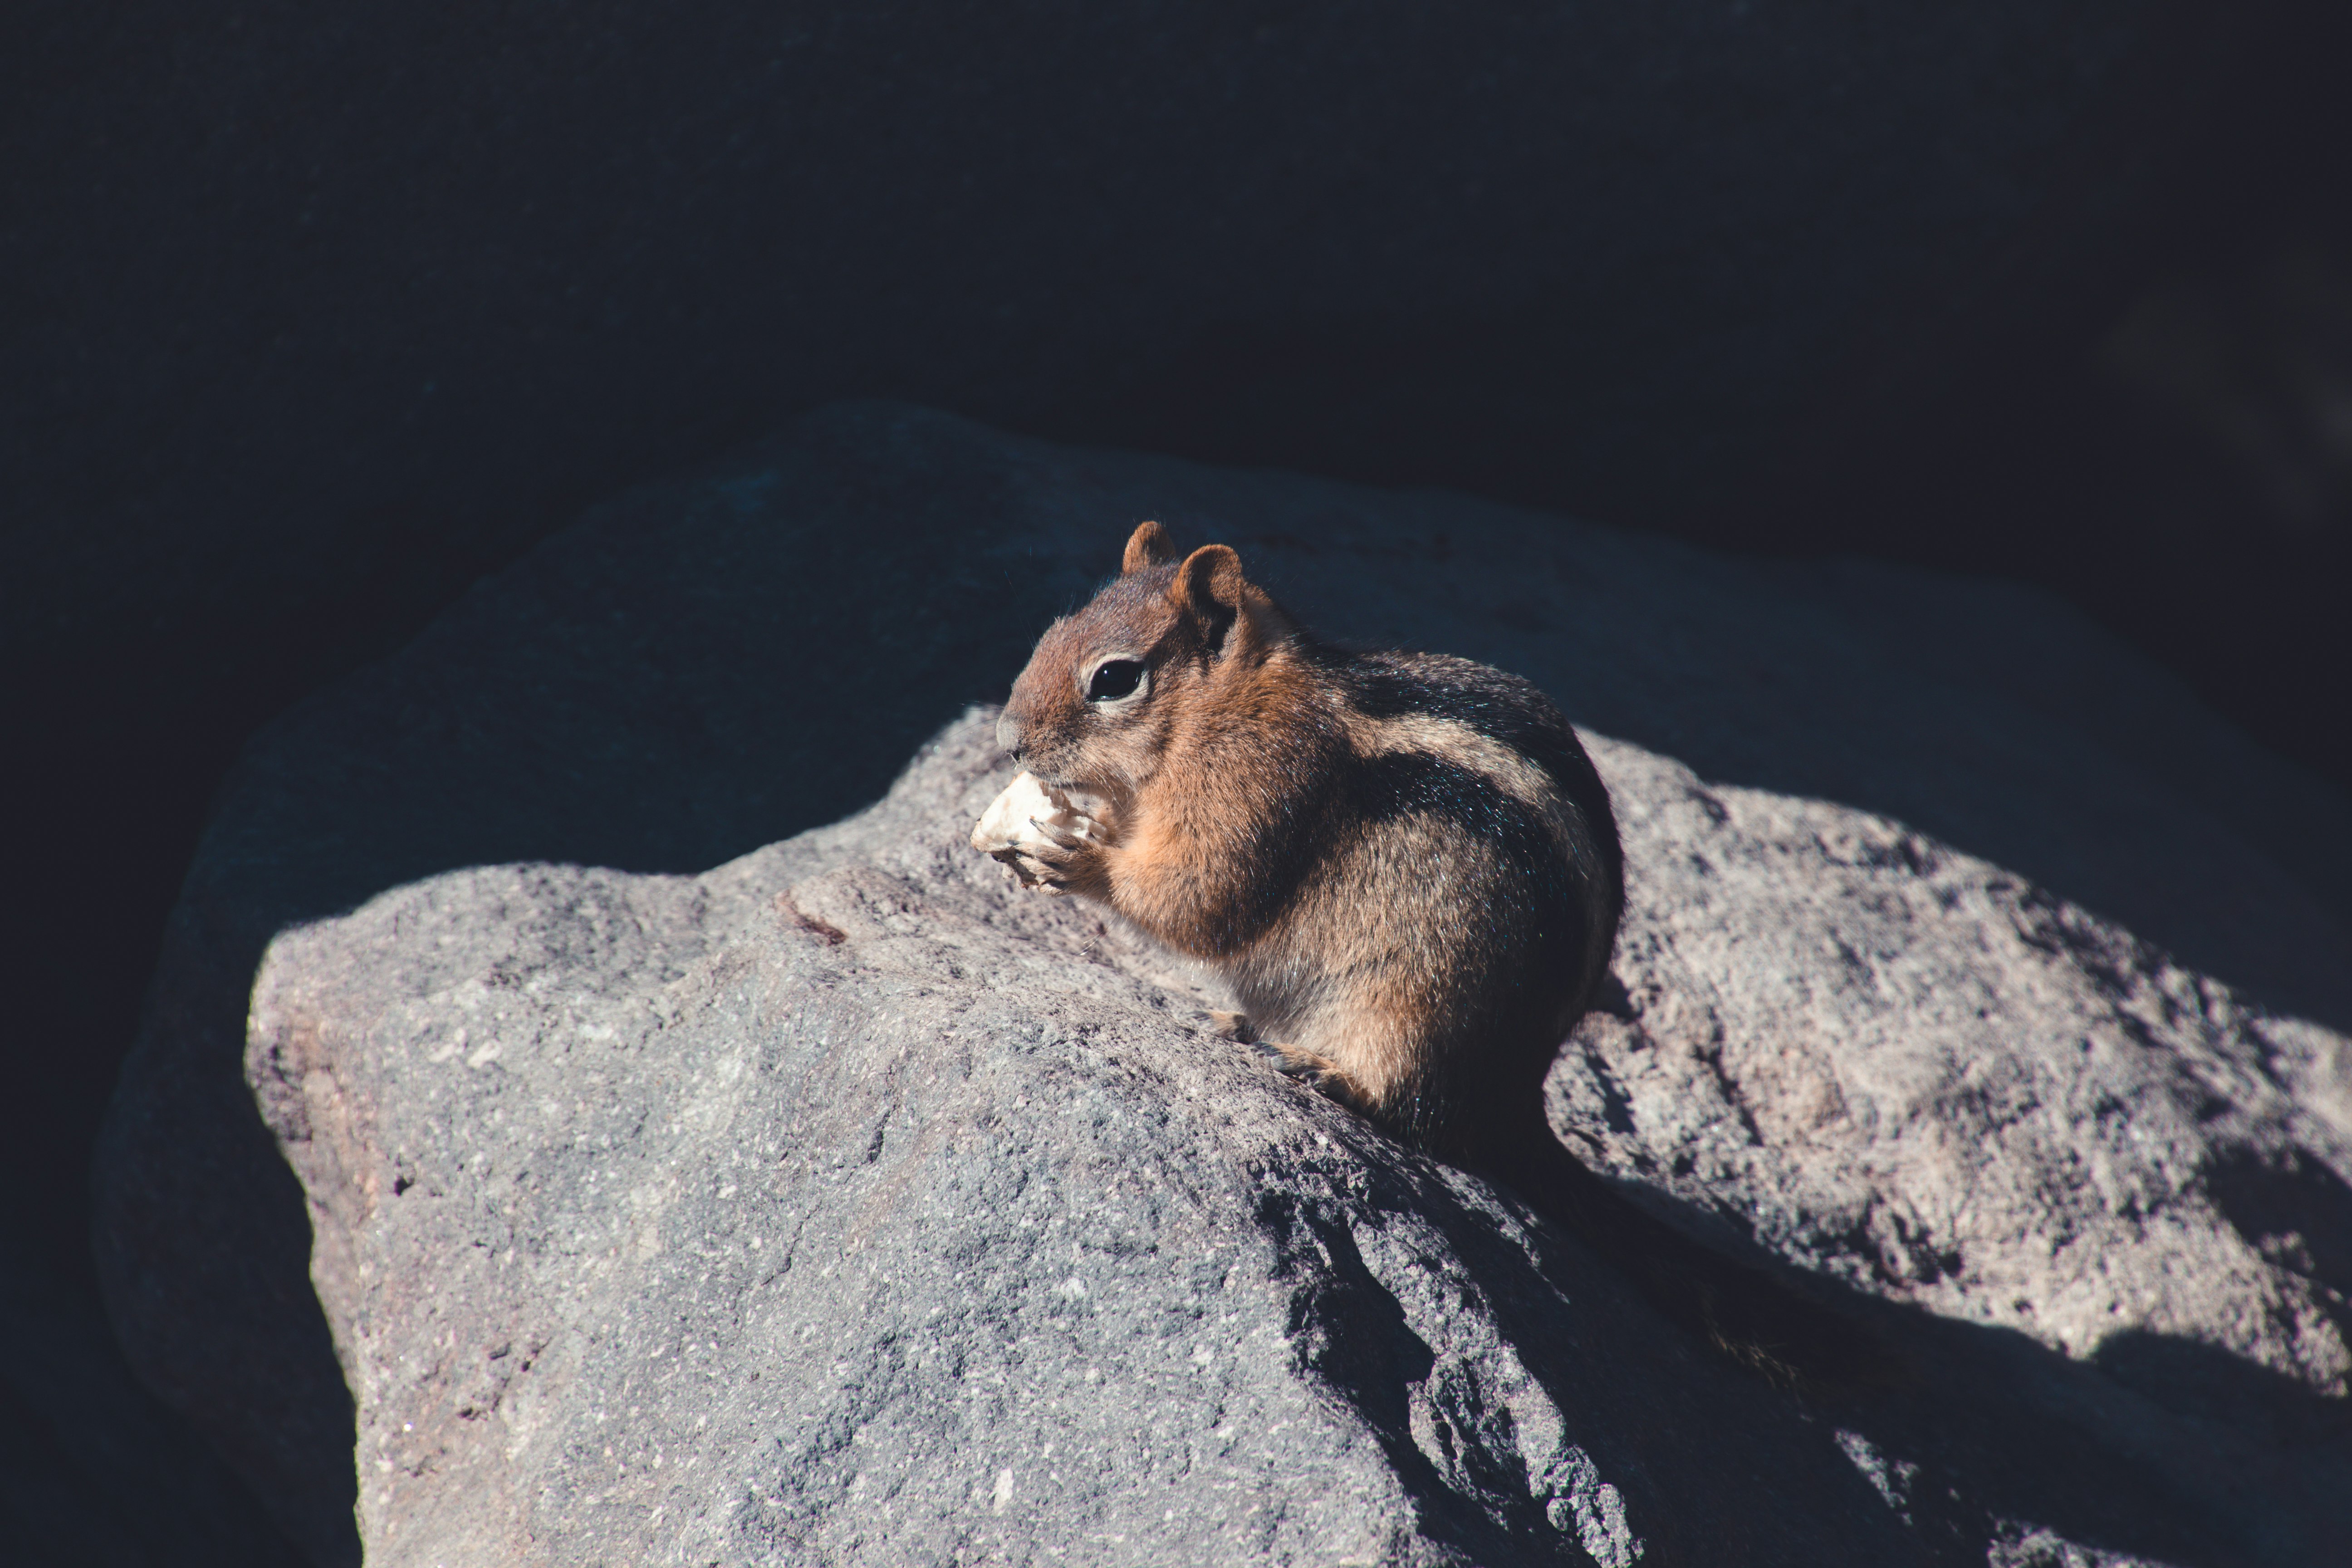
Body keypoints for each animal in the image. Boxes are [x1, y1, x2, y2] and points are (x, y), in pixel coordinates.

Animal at [992, 517, 1891, 1382]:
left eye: (1115, 679)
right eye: (1053, 629)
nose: (1007, 740)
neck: (1233, 702)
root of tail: (1518, 1095)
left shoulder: (1258, 787)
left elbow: (1201, 898)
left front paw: (1081, 855)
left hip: (1417, 1009)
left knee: (1417, 1111)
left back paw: (1329, 1073)